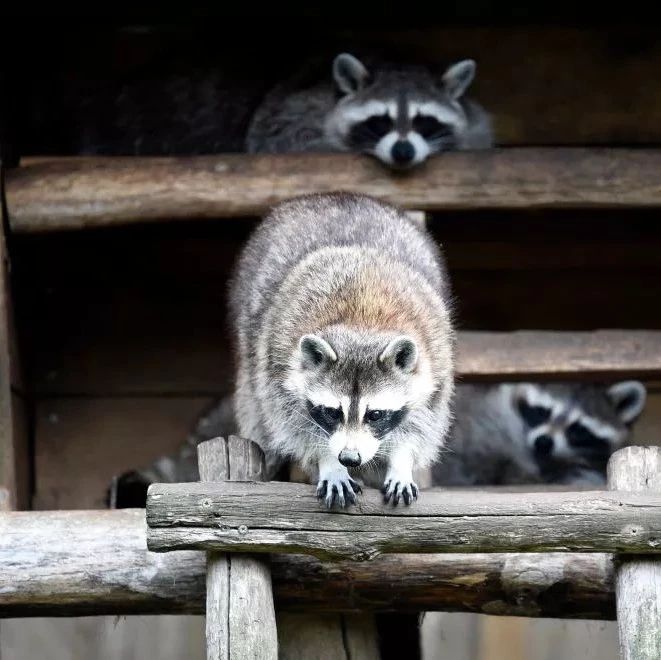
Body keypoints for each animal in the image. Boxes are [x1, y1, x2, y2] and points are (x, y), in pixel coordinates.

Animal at [228, 193, 454, 508]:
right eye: (332, 412)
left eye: (375, 414)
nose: (349, 458)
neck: (362, 323)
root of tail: (334, 196)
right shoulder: (278, 361)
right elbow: (296, 426)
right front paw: (329, 461)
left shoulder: (436, 358)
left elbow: (422, 424)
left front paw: (401, 460)